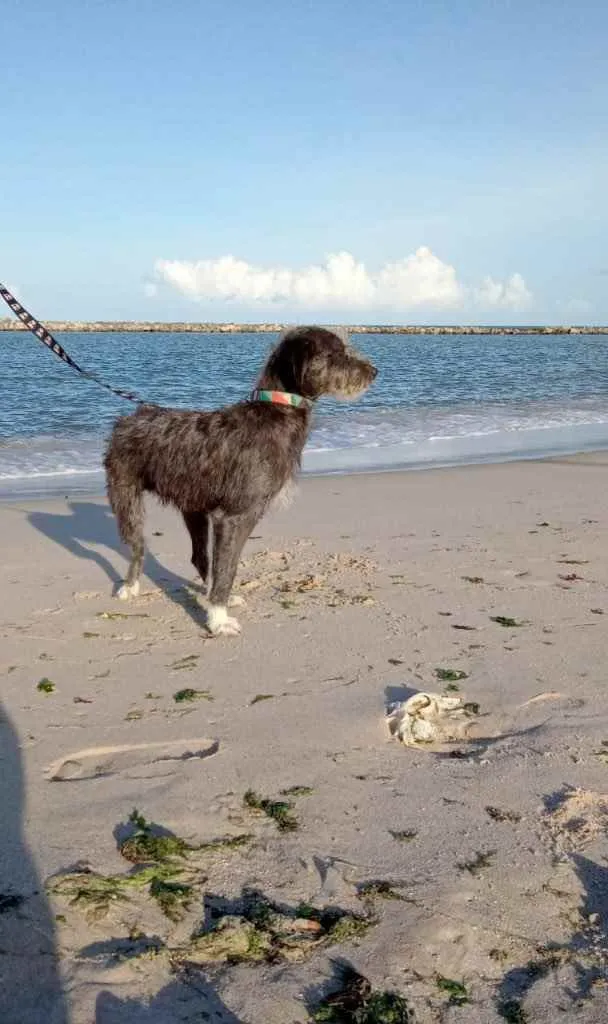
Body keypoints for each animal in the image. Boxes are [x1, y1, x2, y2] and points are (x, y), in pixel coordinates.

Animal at [106, 325, 376, 630]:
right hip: (125, 494)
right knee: (139, 547)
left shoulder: (244, 516)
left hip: (194, 507)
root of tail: (127, 420)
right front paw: (218, 619)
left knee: (199, 556)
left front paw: (217, 605)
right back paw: (130, 586)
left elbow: (227, 564)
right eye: (336, 354)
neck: (278, 410)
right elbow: (227, 567)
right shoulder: (234, 516)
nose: (374, 371)